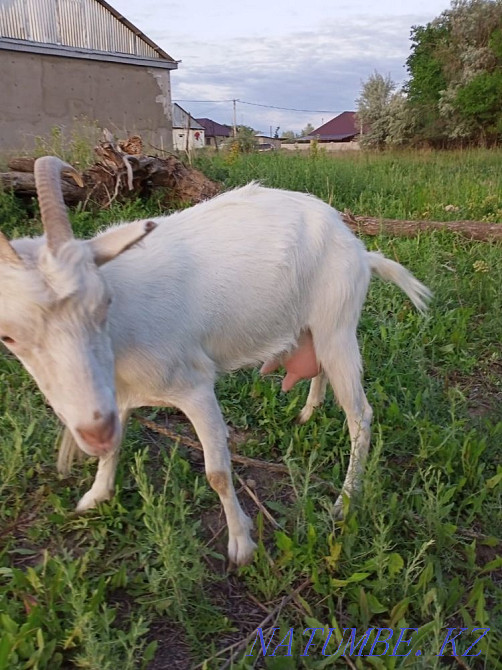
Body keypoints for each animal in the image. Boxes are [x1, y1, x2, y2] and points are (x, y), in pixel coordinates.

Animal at [0, 157, 431, 565]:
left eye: (104, 302)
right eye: (8, 336)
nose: (93, 432)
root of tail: (360, 250)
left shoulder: (195, 386)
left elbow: (218, 473)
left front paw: (241, 543)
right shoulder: (114, 393)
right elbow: (115, 445)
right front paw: (95, 495)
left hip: (338, 325)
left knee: (360, 416)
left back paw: (345, 502)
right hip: (317, 330)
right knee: (321, 370)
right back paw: (308, 412)